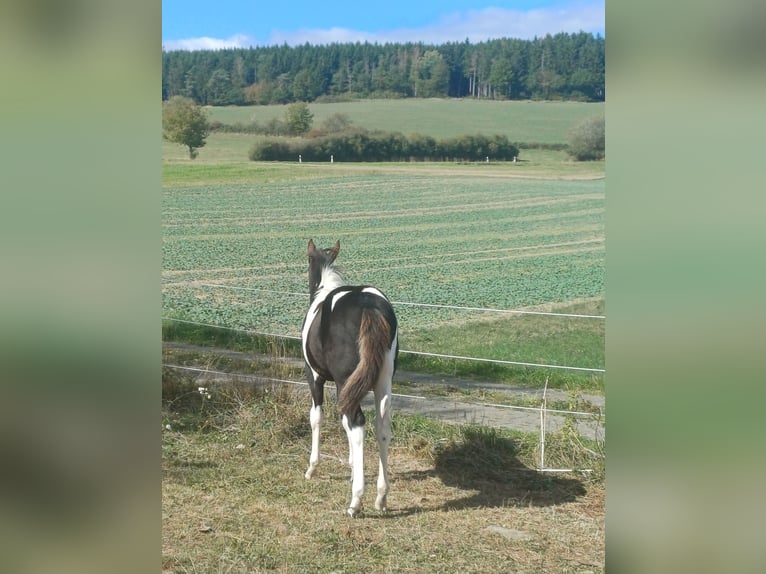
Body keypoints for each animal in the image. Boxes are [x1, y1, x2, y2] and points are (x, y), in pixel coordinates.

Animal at [300, 239, 399, 517]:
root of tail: (368, 305)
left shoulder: (315, 377)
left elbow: (317, 418)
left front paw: (312, 468)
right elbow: (343, 422)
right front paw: (354, 466)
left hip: (346, 380)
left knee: (357, 423)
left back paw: (356, 502)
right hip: (383, 382)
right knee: (381, 426)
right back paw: (381, 497)